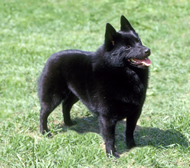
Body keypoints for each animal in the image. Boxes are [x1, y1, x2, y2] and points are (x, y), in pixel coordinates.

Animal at [38, 15, 151, 158]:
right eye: (127, 47)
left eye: (139, 41)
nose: (148, 50)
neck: (122, 73)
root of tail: (51, 57)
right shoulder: (107, 117)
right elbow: (110, 138)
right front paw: (111, 154)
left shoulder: (135, 112)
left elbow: (130, 131)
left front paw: (132, 147)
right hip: (53, 97)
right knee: (43, 113)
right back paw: (44, 132)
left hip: (76, 94)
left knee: (66, 105)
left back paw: (69, 123)